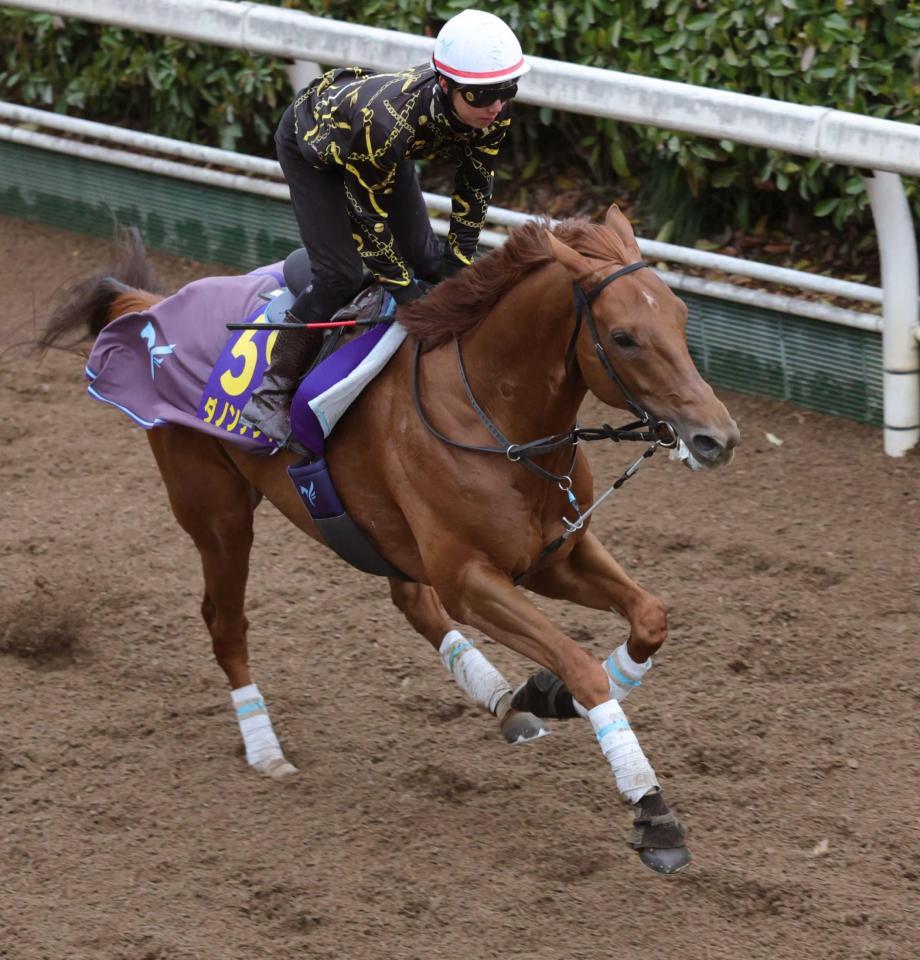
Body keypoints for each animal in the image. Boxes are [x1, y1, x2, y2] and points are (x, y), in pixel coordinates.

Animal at [41, 204, 740, 875]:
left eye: (680, 317)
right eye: (624, 336)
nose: (717, 438)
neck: (489, 415)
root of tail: (150, 308)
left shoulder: (555, 553)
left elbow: (649, 616)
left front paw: (546, 694)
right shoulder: (469, 578)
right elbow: (580, 665)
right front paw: (652, 811)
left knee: (411, 602)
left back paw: (501, 699)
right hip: (217, 512)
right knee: (226, 621)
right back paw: (265, 748)